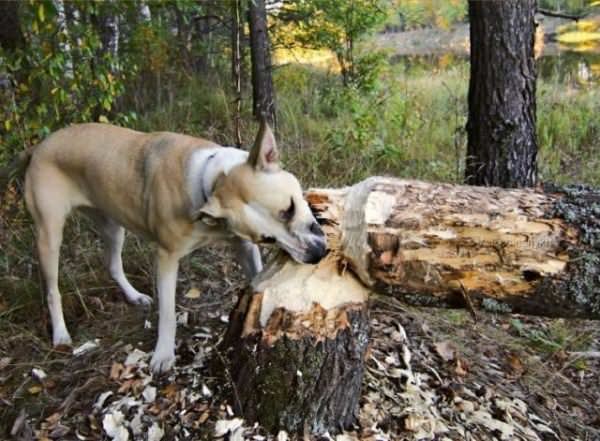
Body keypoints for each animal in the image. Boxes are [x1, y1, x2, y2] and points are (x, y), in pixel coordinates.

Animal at [24, 120, 328, 372]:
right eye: (268, 237)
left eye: (290, 208)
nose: (317, 255)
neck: (211, 182)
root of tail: (39, 147)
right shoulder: (167, 257)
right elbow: (168, 312)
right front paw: (163, 354)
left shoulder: (242, 245)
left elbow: (256, 276)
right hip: (49, 235)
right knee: (52, 289)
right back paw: (60, 334)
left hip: (112, 225)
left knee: (112, 264)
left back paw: (134, 296)